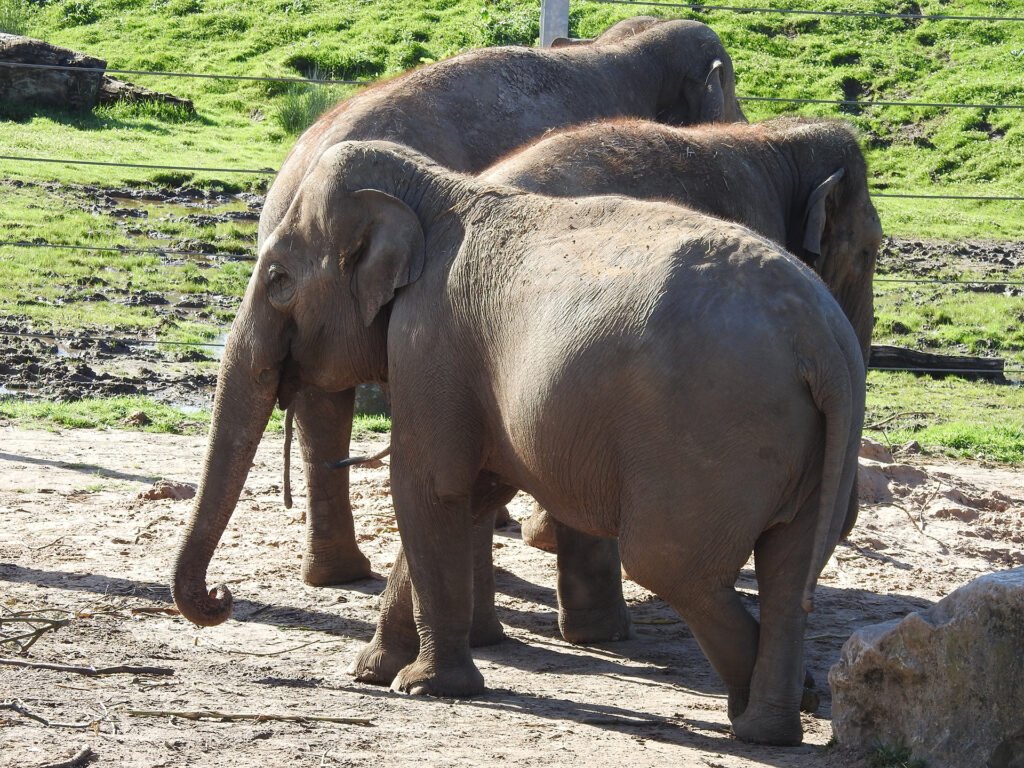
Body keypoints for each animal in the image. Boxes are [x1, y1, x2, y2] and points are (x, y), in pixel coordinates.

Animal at [169, 141, 864, 749]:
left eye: (278, 278)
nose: (222, 597)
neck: (436, 189)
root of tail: (822, 337)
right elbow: (470, 495)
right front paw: (371, 672)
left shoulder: (430, 340)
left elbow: (428, 489)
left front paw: (424, 687)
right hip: (813, 445)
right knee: (787, 571)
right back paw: (774, 719)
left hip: (715, 438)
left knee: (669, 563)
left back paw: (765, 709)